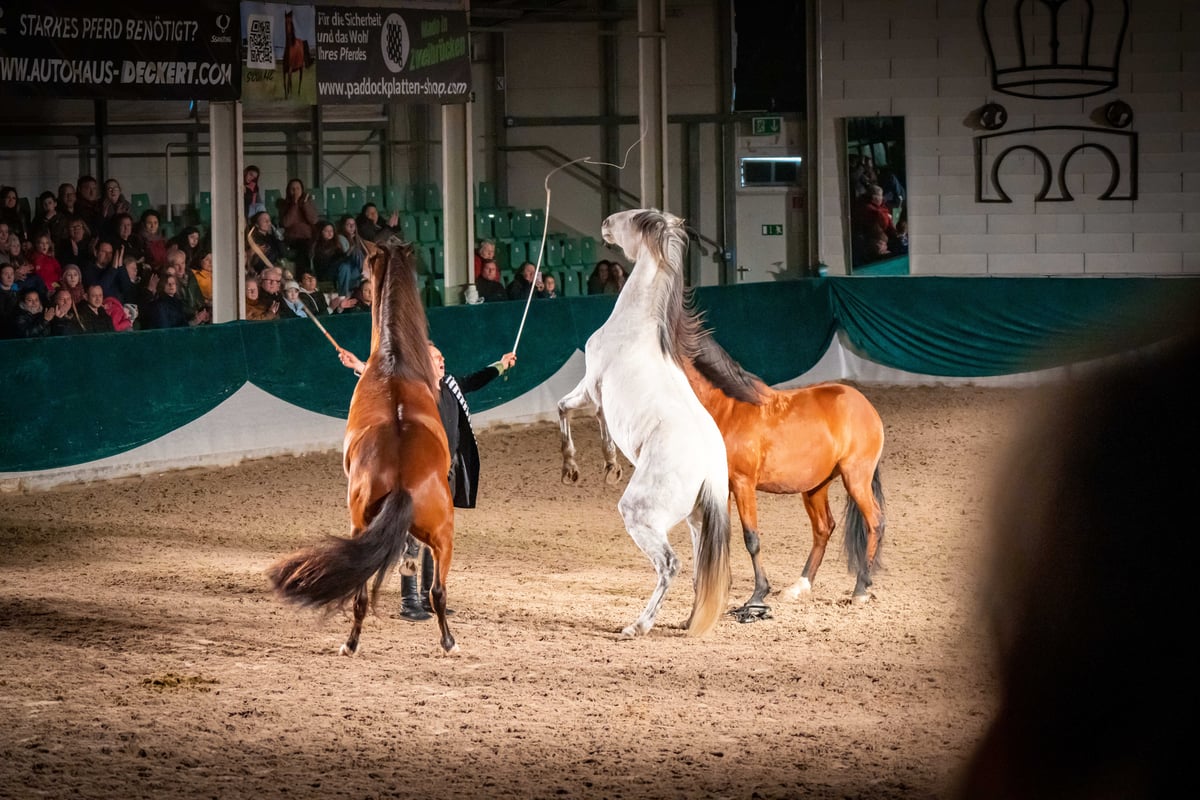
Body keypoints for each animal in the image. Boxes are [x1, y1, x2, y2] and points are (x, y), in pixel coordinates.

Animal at [265, 241, 456, 652]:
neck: (393, 361)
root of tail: (402, 480)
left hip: (377, 529)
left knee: (377, 592)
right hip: (439, 537)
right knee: (433, 590)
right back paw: (444, 640)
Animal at [554, 208, 729, 638]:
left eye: (633, 218)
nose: (605, 221)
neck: (635, 325)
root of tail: (710, 468)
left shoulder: (592, 388)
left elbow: (568, 411)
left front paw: (581, 467)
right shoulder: (595, 394)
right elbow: (579, 416)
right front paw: (601, 467)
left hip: (641, 515)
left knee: (671, 565)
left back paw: (638, 625)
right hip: (697, 520)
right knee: (699, 570)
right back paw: (688, 620)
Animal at [681, 331, 888, 618]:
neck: (727, 409)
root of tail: (865, 405)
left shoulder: (743, 484)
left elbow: (751, 538)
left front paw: (757, 595)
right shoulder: (723, 487)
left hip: (856, 478)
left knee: (875, 522)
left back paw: (860, 589)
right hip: (815, 487)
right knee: (824, 528)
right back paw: (799, 587)